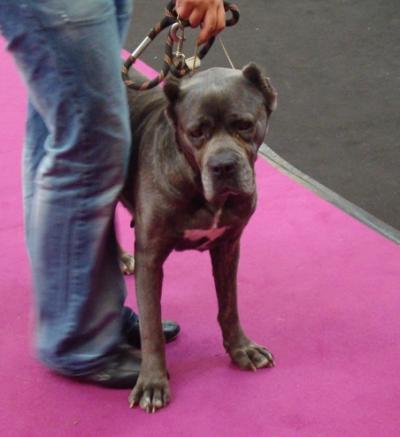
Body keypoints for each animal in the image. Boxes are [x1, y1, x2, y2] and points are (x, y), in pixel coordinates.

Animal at [120, 63, 277, 413]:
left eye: (244, 125)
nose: (223, 166)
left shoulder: (229, 245)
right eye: (196, 133)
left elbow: (229, 305)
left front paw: (242, 349)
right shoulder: (151, 256)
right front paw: (153, 383)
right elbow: (151, 324)